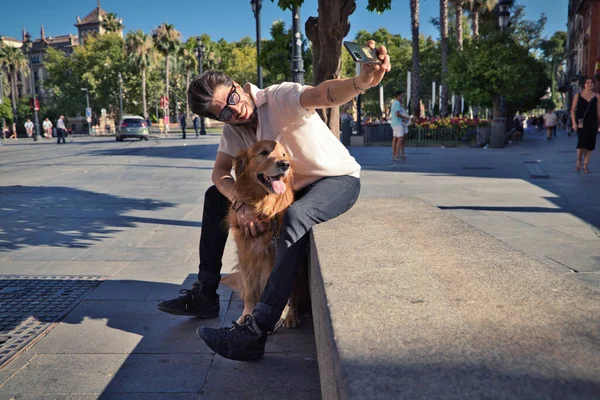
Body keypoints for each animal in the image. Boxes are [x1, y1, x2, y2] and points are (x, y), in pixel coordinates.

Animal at [221, 140, 300, 328]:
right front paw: (246, 316)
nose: (284, 164)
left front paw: (290, 316)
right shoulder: (246, 255)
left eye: (284, 154)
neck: (264, 207)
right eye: (263, 153)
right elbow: (251, 291)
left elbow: (290, 290)